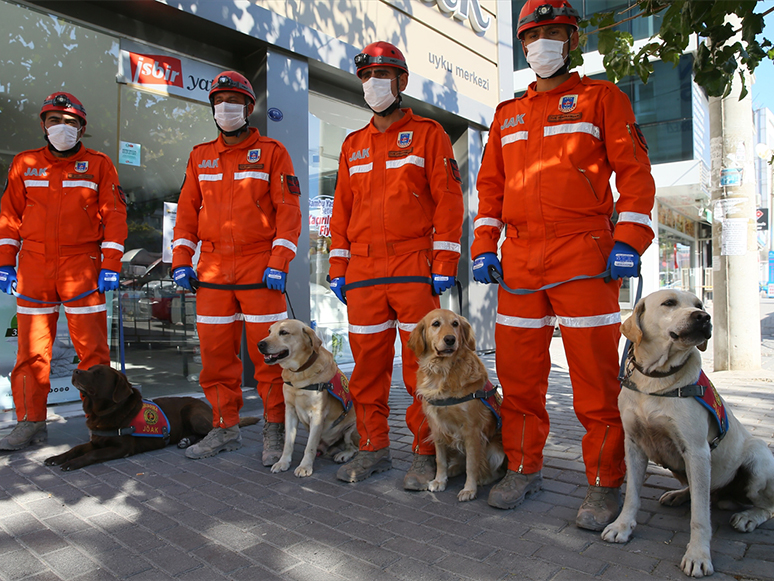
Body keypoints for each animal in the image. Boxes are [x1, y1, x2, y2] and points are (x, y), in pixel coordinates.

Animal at [258, 320, 360, 478]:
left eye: (284, 332)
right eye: (269, 331)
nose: (260, 344)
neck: (299, 373)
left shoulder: (317, 415)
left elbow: (310, 446)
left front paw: (305, 466)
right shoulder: (290, 411)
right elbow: (288, 443)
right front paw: (283, 462)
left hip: (352, 429)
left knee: (354, 448)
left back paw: (343, 455)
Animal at [406, 306, 510, 500]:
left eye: (455, 324)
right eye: (436, 324)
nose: (450, 339)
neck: (442, 371)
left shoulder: (472, 430)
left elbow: (472, 464)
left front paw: (469, 489)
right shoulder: (436, 427)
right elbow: (440, 459)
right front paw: (440, 480)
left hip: (495, 449)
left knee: (494, 470)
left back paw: (483, 478)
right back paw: (452, 469)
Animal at [608, 290, 774, 576]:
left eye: (699, 304)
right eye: (669, 303)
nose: (704, 317)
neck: (657, 379)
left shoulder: (697, 451)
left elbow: (700, 515)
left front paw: (698, 555)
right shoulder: (634, 444)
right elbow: (632, 495)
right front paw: (622, 526)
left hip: (759, 459)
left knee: (765, 506)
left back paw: (748, 517)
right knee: (702, 490)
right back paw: (679, 495)